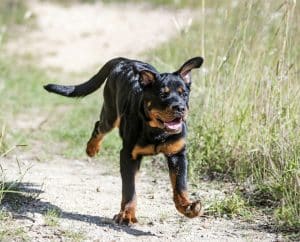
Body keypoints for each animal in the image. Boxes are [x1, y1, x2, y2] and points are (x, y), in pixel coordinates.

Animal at [44, 56, 204, 225]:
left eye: (184, 94)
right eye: (162, 94)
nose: (180, 108)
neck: (156, 131)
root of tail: (125, 60)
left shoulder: (177, 154)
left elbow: (180, 185)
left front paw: (187, 207)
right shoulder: (127, 155)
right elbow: (129, 189)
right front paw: (127, 214)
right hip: (111, 114)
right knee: (99, 126)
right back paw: (91, 149)